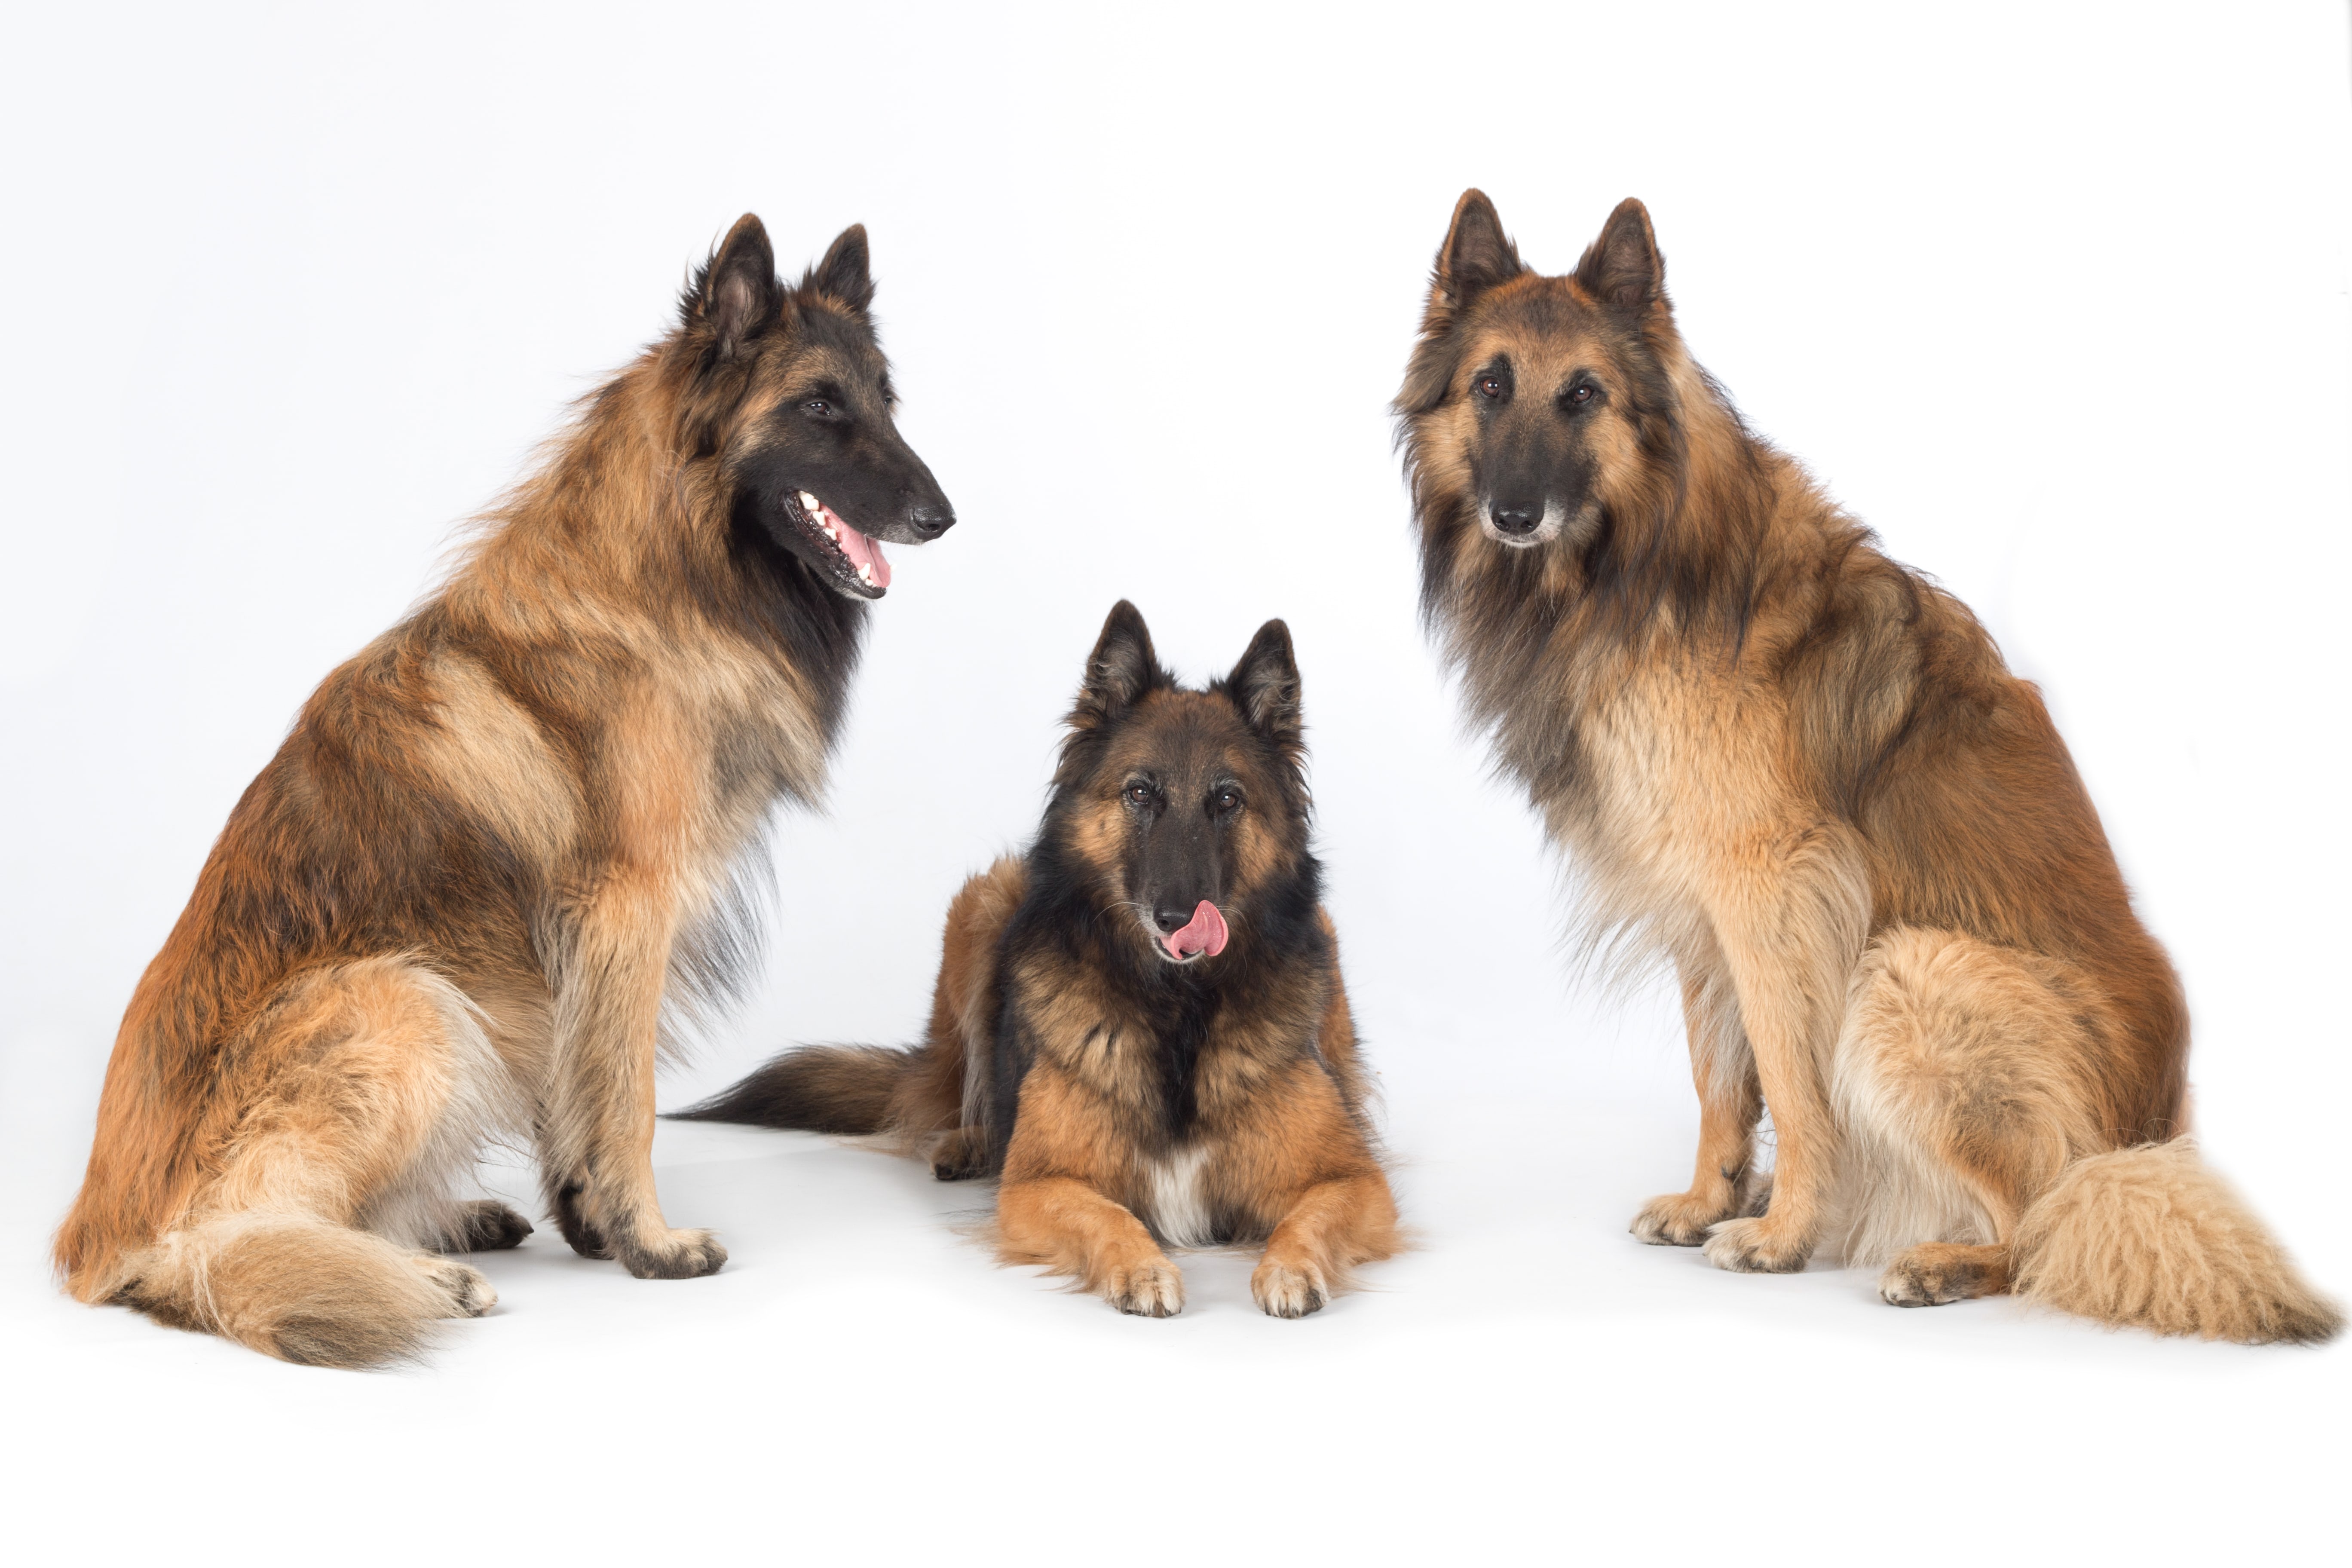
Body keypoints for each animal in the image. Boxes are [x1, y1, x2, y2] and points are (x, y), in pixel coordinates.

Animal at [682, 606, 1392, 1316]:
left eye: (1227, 801)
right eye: (1140, 794)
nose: (1177, 919)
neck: (1177, 1012)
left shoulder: (1356, 1181)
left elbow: (1311, 1217)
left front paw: (1290, 1269)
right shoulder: (1039, 1183)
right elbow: (1109, 1216)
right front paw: (1142, 1268)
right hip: (983, 905)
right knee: (959, 1092)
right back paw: (969, 1140)